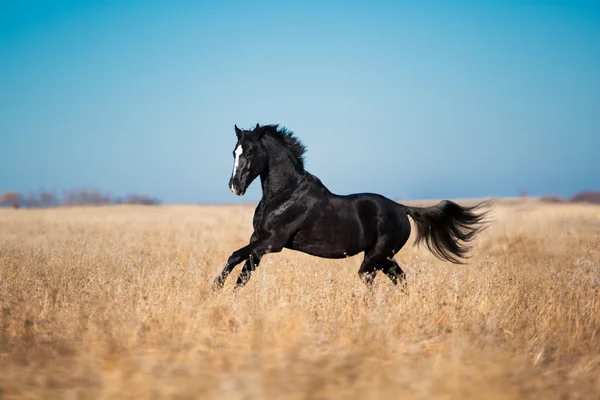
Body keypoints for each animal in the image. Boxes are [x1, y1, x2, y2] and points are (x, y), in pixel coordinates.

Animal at [213, 123, 490, 290]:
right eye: (234, 152)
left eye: (249, 152)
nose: (235, 187)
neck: (284, 194)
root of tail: (402, 209)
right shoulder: (258, 241)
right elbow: (243, 273)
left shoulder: (273, 242)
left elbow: (235, 256)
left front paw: (214, 289)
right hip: (382, 258)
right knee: (399, 278)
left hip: (375, 258)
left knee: (372, 281)